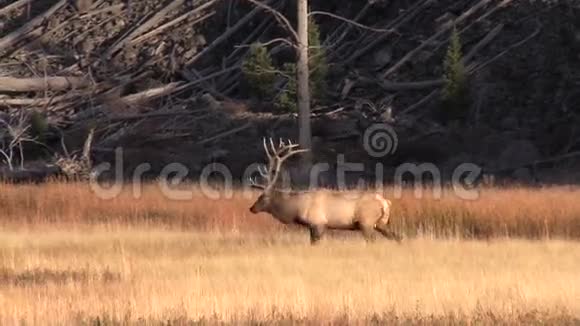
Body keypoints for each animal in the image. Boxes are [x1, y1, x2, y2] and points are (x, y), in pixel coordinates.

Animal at [247, 138, 402, 244]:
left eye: (262, 197)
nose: (251, 208)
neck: (297, 208)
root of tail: (385, 202)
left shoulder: (318, 223)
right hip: (381, 223)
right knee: (397, 237)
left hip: (367, 222)